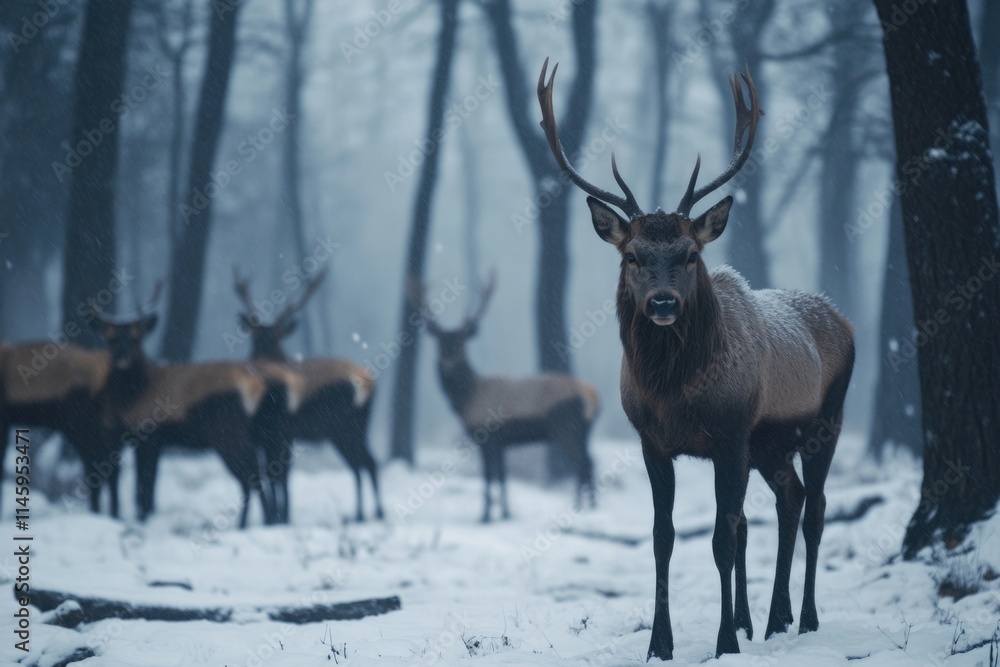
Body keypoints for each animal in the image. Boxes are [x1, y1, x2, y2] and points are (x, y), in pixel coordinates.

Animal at [91, 284, 302, 527]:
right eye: (110, 338)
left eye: (136, 338)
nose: (122, 358)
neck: (130, 400)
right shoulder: (130, 438)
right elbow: (134, 487)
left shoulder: (148, 436)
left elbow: (143, 490)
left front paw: (140, 520)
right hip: (270, 433)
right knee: (272, 472)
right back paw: (267, 520)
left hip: (229, 433)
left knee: (253, 475)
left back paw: (253, 522)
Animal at [232, 267, 383, 523]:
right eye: (254, 339)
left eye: (275, 339)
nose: (258, 361)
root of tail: (369, 383)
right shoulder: (265, 436)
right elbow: (272, 474)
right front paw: (278, 516)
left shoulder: (280, 432)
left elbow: (279, 475)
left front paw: (280, 517)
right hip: (344, 431)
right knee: (361, 462)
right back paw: (364, 513)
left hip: (347, 427)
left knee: (366, 462)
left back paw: (370, 513)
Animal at [416, 274, 599, 522]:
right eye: (440, 342)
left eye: (462, 342)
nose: (448, 360)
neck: (466, 398)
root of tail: (592, 395)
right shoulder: (502, 442)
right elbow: (502, 476)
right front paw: (505, 513)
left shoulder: (486, 436)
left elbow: (489, 476)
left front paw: (485, 516)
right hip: (584, 431)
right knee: (590, 461)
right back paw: (591, 507)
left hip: (566, 426)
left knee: (582, 463)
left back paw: (580, 507)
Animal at [537, 59, 855, 659]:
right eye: (632, 255)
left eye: (689, 254)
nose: (663, 302)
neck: (675, 396)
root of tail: (842, 318)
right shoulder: (653, 442)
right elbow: (665, 538)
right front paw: (661, 644)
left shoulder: (729, 435)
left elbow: (721, 538)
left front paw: (725, 640)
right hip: (770, 444)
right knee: (790, 499)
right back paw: (771, 620)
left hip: (828, 418)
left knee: (816, 508)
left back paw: (805, 619)